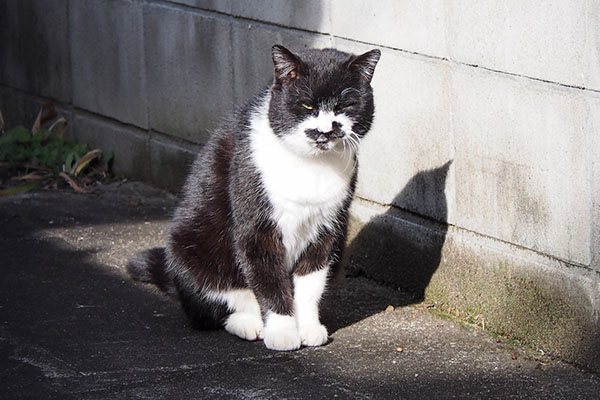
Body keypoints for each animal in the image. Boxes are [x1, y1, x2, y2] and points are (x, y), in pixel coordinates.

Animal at [127, 43, 380, 350]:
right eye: (307, 105)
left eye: (345, 106)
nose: (327, 129)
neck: (311, 166)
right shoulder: (256, 227)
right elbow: (269, 280)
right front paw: (283, 332)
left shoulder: (327, 228)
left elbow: (310, 283)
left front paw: (307, 327)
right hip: (190, 245)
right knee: (212, 310)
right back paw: (248, 323)